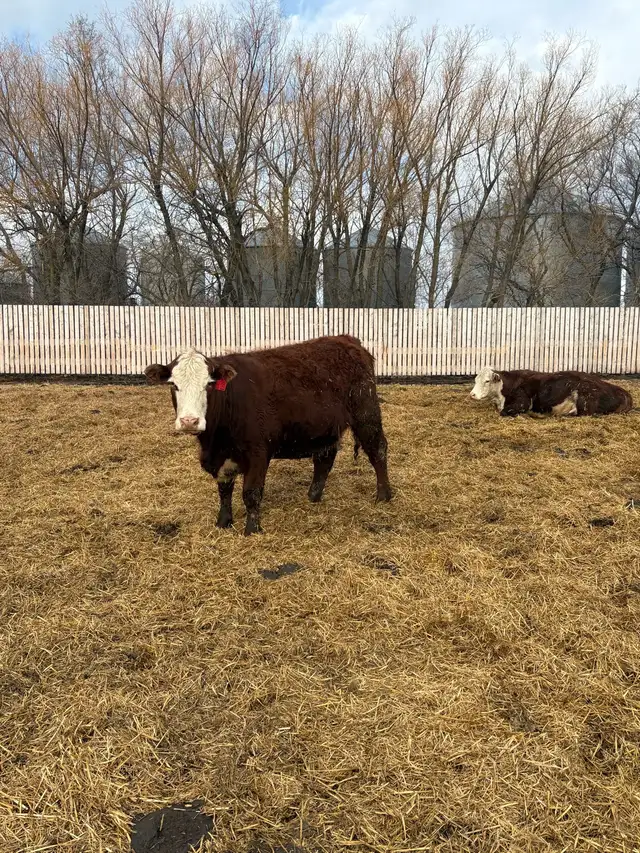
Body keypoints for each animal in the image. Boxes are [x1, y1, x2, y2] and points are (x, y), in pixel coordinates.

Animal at [143, 335, 392, 535]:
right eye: (173, 385)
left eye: (209, 385)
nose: (189, 421)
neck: (216, 440)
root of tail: (347, 339)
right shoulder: (222, 456)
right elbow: (224, 490)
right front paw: (223, 522)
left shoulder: (258, 453)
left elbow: (251, 493)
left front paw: (252, 529)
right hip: (325, 428)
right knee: (324, 459)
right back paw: (313, 496)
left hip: (366, 414)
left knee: (378, 450)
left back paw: (383, 495)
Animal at [470, 366, 633, 417]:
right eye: (476, 379)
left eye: (487, 381)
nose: (472, 395)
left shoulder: (523, 402)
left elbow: (505, 412)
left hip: (585, 398)